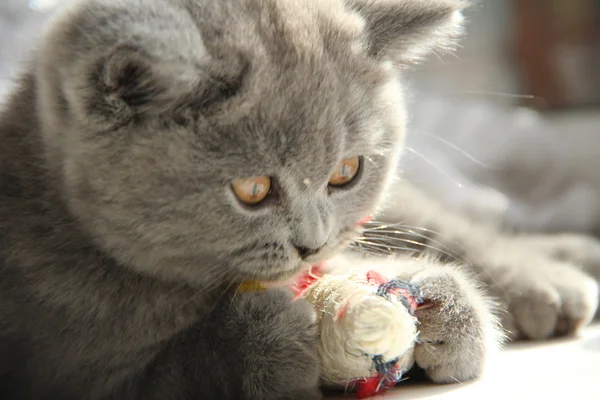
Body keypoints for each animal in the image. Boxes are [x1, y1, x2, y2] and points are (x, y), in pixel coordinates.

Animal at [0, 0, 596, 398]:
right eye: (253, 190)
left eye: (346, 172)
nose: (312, 244)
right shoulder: (70, 367)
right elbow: (178, 367)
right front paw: (267, 335)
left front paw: (443, 305)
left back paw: (557, 276)